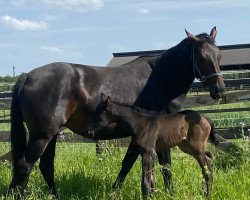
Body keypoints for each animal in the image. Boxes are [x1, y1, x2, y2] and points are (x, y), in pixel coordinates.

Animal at [9, 26, 225, 195]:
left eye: (218, 54)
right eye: (201, 57)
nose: (219, 89)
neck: (160, 78)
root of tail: (27, 76)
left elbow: (133, 164)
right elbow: (160, 166)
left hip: (51, 134)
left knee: (45, 166)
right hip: (42, 135)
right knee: (25, 165)